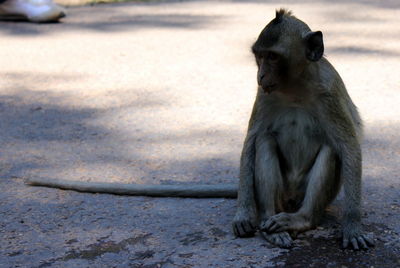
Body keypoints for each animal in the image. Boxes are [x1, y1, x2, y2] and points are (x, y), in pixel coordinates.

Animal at [233, 8, 374, 250]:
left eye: (272, 57)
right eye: (259, 56)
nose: (260, 76)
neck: (295, 88)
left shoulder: (329, 93)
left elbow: (349, 148)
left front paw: (353, 226)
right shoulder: (264, 95)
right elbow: (251, 142)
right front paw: (243, 214)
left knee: (330, 149)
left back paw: (301, 220)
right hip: (282, 194)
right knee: (264, 140)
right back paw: (271, 222)